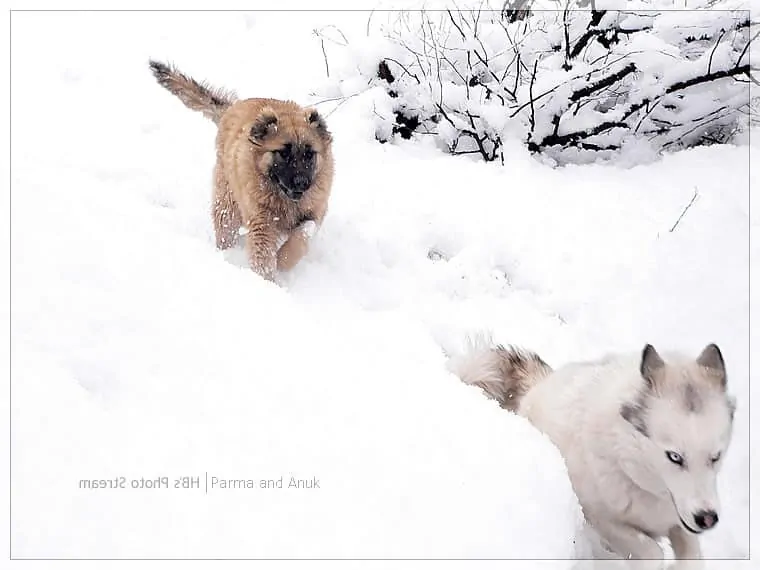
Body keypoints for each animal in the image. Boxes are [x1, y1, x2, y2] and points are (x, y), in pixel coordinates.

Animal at [150, 60, 334, 280]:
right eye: (283, 153)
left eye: (309, 154)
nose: (302, 183)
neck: (284, 199)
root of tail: (232, 107)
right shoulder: (262, 223)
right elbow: (264, 257)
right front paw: (268, 281)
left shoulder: (314, 212)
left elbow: (304, 233)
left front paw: (284, 260)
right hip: (228, 203)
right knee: (225, 230)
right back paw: (226, 255)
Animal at [448, 338, 732, 560]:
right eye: (674, 457)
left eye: (715, 457)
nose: (707, 518)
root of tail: (541, 382)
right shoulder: (602, 519)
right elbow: (651, 551)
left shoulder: (679, 520)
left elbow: (691, 555)